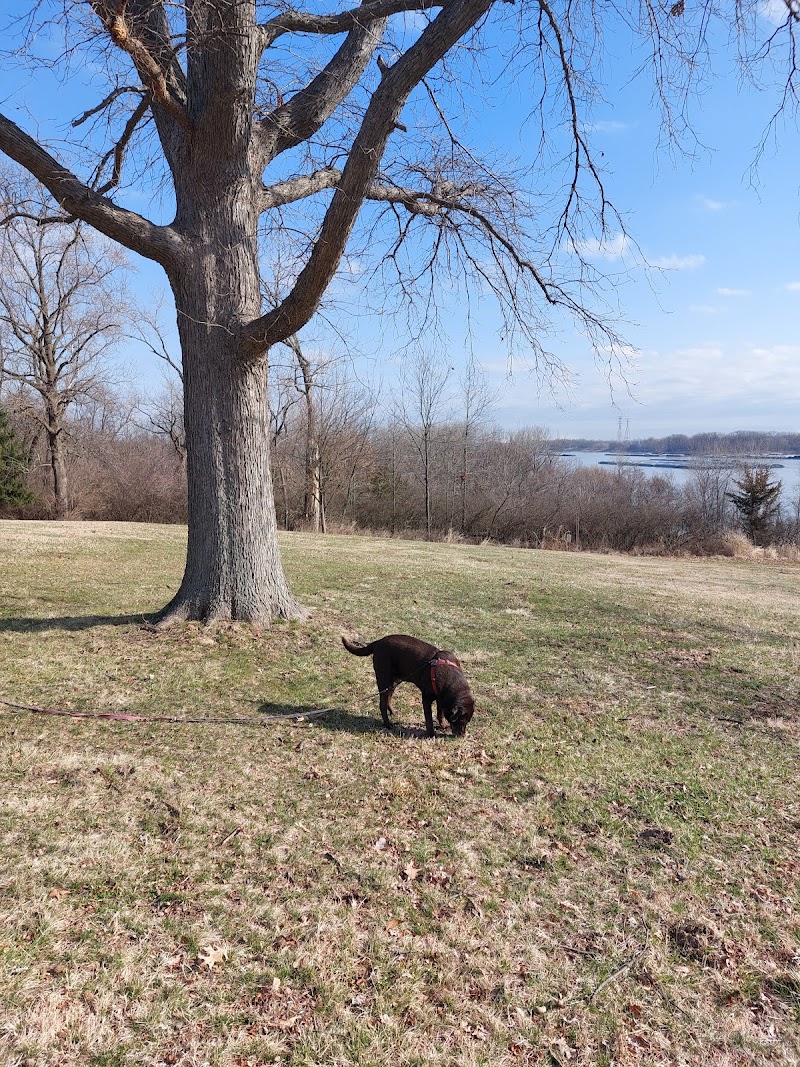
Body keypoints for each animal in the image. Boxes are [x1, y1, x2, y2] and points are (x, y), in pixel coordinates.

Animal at [343, 631, 475, 734]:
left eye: (467, 721)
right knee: (382, 704)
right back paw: (387, 724)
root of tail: (378, 642)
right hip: (384, 679)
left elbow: (440, 714)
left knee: (388, 698)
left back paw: (392, 711)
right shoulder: (426, 699)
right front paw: (431, 734)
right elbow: (429, 719)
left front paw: (442, 726)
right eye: (460, 720)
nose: (462, 735)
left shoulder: (440, 699)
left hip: (394, 682)